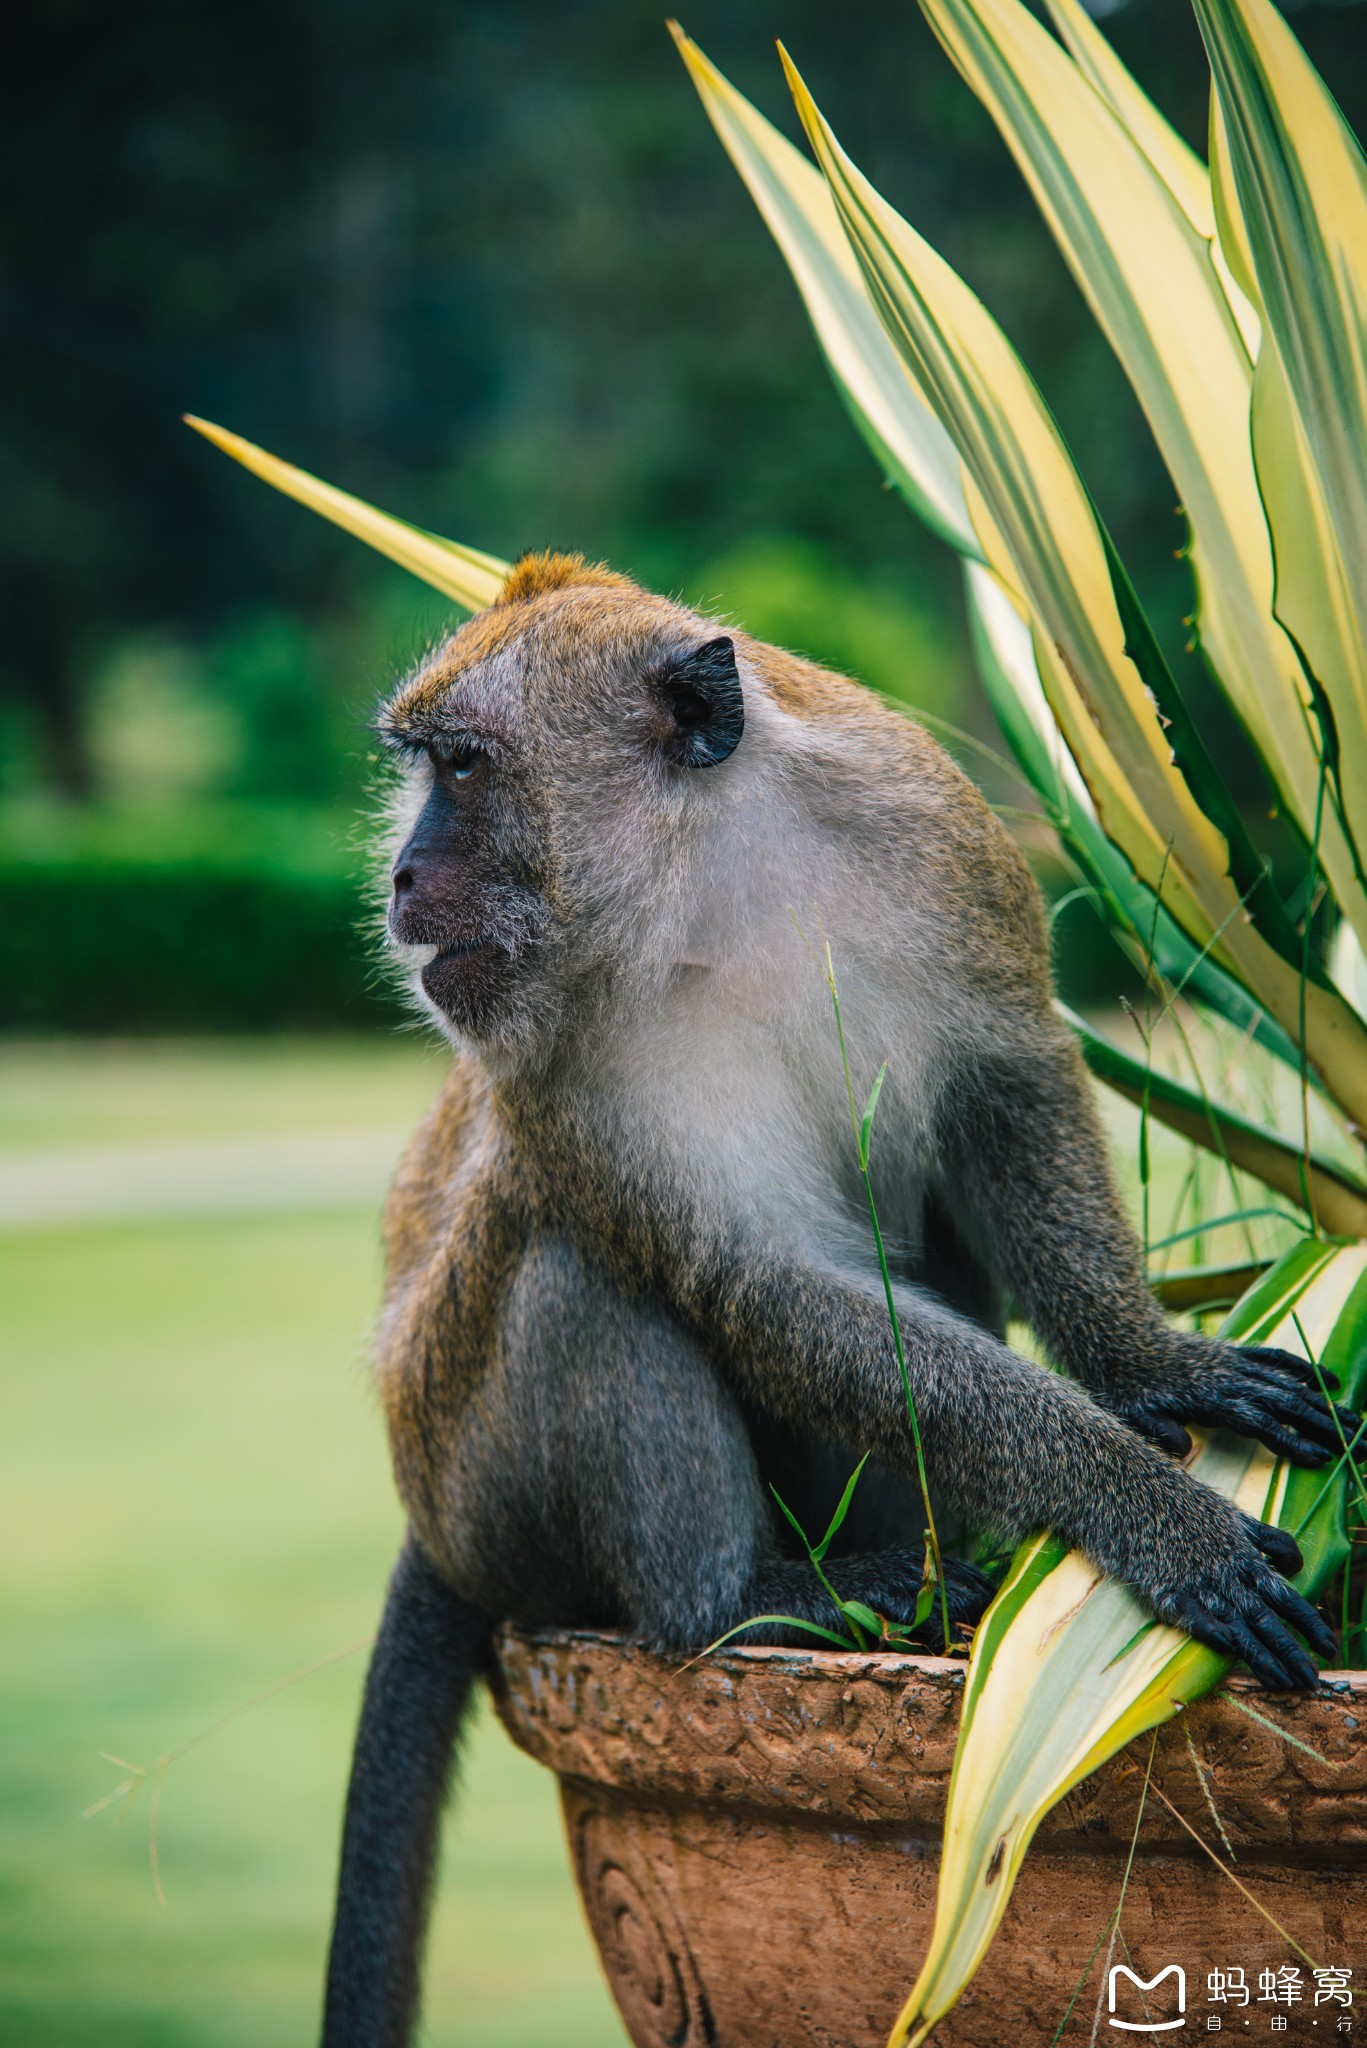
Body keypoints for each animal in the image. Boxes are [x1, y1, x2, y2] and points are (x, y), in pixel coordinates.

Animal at [321, 548, 1360, 2048]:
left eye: (461, 766)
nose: (404, 872)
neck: (711, 876)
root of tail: (429, 1521)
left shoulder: (931, 837)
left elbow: (1003, 1092)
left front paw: (1146, 1366)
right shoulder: (558, 1052)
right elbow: (763, 1279)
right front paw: (1142, 1511)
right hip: (478, 1488)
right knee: (576, 1262)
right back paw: (737, 1605)